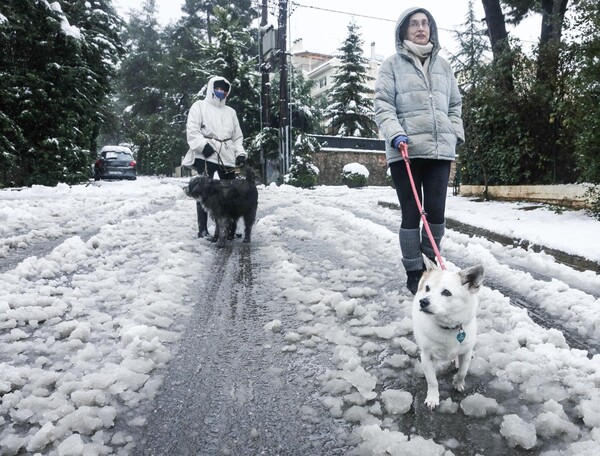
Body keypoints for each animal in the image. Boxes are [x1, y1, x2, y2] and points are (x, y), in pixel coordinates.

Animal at [410, 256, 486, 410]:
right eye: (427, 288)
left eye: (446, 293)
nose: (423, 301)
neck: (448, 327)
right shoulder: (426, 357)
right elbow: (432, 381)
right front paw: (433, 398)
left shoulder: (466, 352)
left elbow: (463, 372)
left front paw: (458, 382)